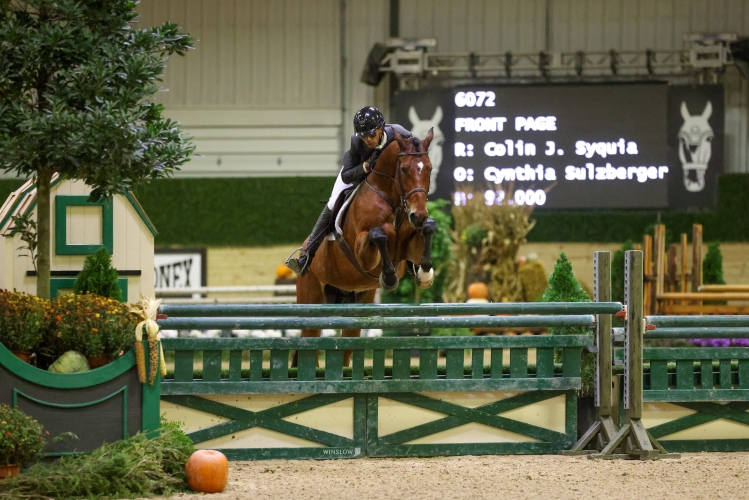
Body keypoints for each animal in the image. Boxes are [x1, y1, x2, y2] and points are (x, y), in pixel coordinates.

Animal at [294, 129, 437, 367]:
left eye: (429, 168)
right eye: (404, 169)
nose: (418, 215)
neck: (392, 199)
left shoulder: (411, 245)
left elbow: (428, 229)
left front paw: (425, 274)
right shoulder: (362, 252)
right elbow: (379, 233)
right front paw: (389, 277)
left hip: (357, 303)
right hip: (311, 298)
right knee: (309, 338)